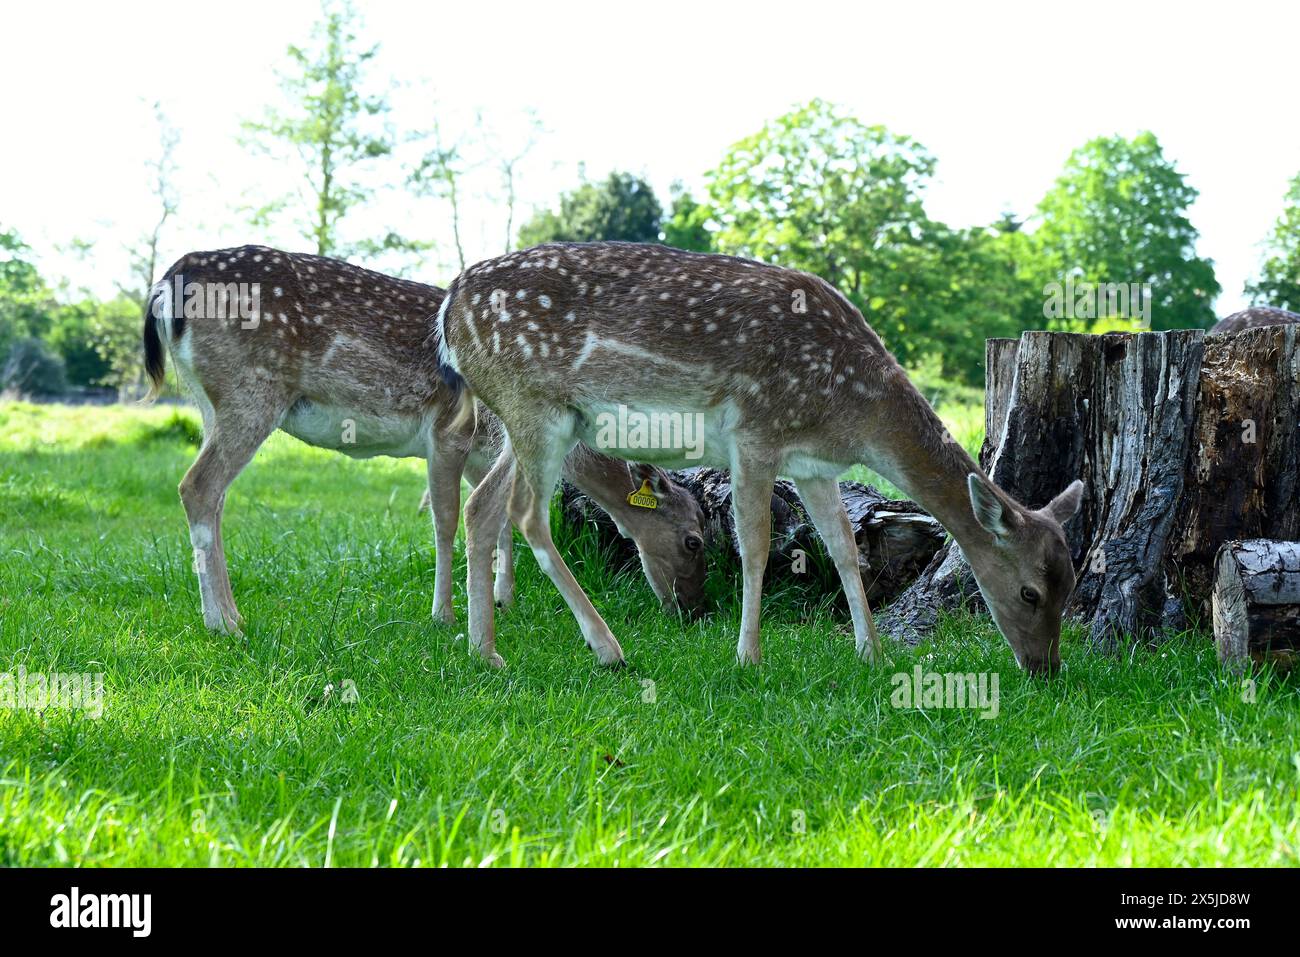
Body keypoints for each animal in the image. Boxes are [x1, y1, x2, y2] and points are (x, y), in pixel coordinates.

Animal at [140, 245, 707, 640]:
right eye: (693, 540)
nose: (694, 610)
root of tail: (167, 284)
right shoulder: (449, 433)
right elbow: (447, 520)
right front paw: (445, 615)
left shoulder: (483, 453)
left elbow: (499, 523)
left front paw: (501, 600)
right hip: (249, 393)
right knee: (197, 487)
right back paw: (224, 624)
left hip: (209, 403)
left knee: (213, 495)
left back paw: (228, 615)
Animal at [439, 242, 1084, 674]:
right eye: (1029, 592)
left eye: (1072, 585)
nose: (1046, 669)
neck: (853, 414)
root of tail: (447, 310)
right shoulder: (755, 433)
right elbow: (756, 545)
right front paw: (749, 655)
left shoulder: (814, 465)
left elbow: (844, 549)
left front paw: (870, 652)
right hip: (535, 405)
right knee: (526, 515)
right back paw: (607, 649)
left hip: (532, 417)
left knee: (482, 506)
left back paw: (483, 650)